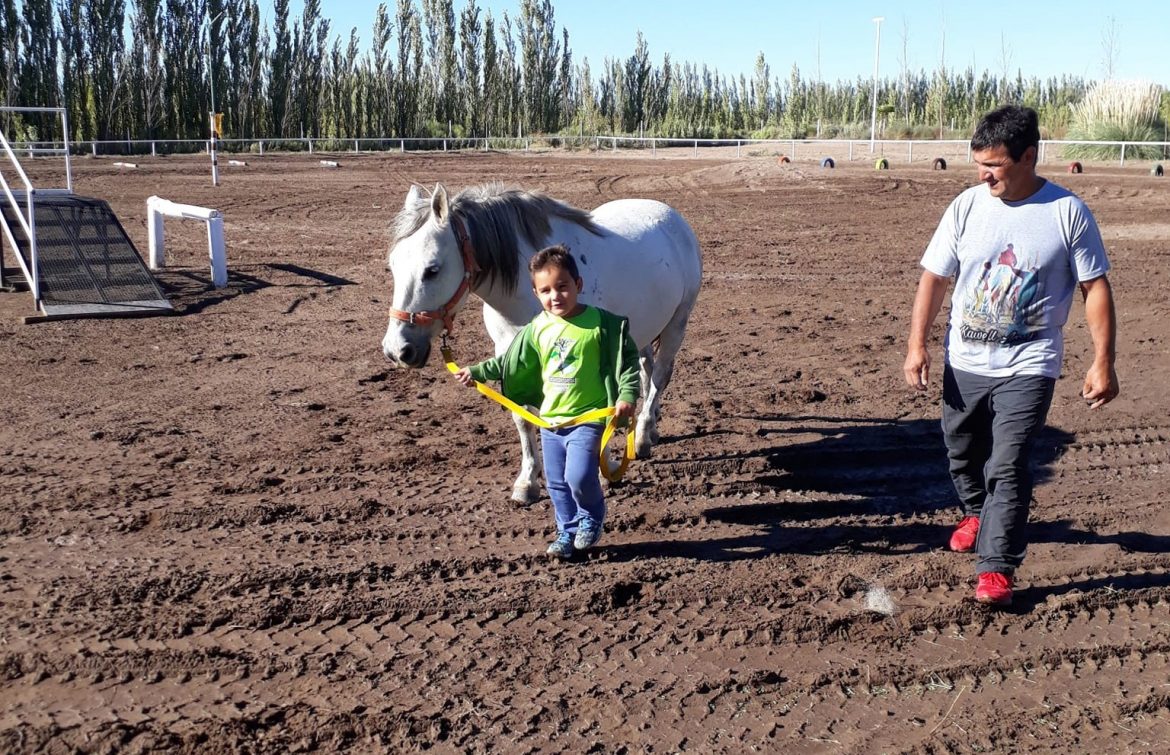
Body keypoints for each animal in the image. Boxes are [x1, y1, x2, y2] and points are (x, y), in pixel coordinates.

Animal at [381, 183, 702, 503]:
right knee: (647, 371)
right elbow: (522, 417)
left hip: (677, 323)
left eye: (432, 270)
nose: (397, 350)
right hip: (642, 329)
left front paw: (604, 468)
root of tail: (670, 216)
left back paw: (645, 434)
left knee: (660, 375)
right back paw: (649, 429)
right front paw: (528, 482)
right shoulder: (511, 353)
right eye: (393, 265)